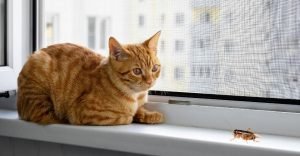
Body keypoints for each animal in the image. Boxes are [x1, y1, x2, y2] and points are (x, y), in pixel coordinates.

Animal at [17, 31, 164, 125]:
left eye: (154, 68)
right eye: (137, 71)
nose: (150, 81)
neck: (135, 96)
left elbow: (139, 110)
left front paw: (150, 115)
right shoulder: (82, 112)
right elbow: (127, 117)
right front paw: (133, 115)